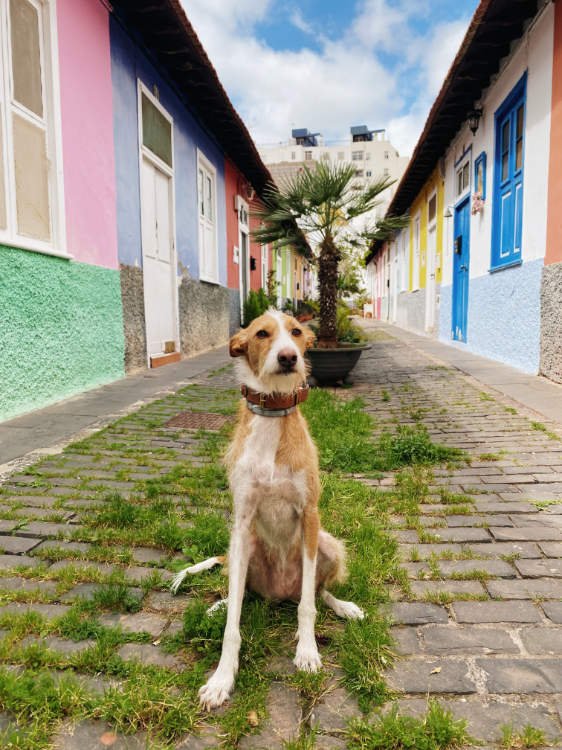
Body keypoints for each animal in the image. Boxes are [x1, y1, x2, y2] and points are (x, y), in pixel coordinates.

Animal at [171, 310, 364, 712]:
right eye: (262, 334)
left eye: (296, 332)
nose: (289, 357)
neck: (272, 416)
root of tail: (279, 594)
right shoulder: (242, 520)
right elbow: (233, 622)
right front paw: (221, 678)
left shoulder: (310, 515)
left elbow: (308, 606)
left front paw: (307, 651)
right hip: (243, 551)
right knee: (241, 594)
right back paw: (218, 605)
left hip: (328, 544)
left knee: (317, 592)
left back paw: (343, 606)